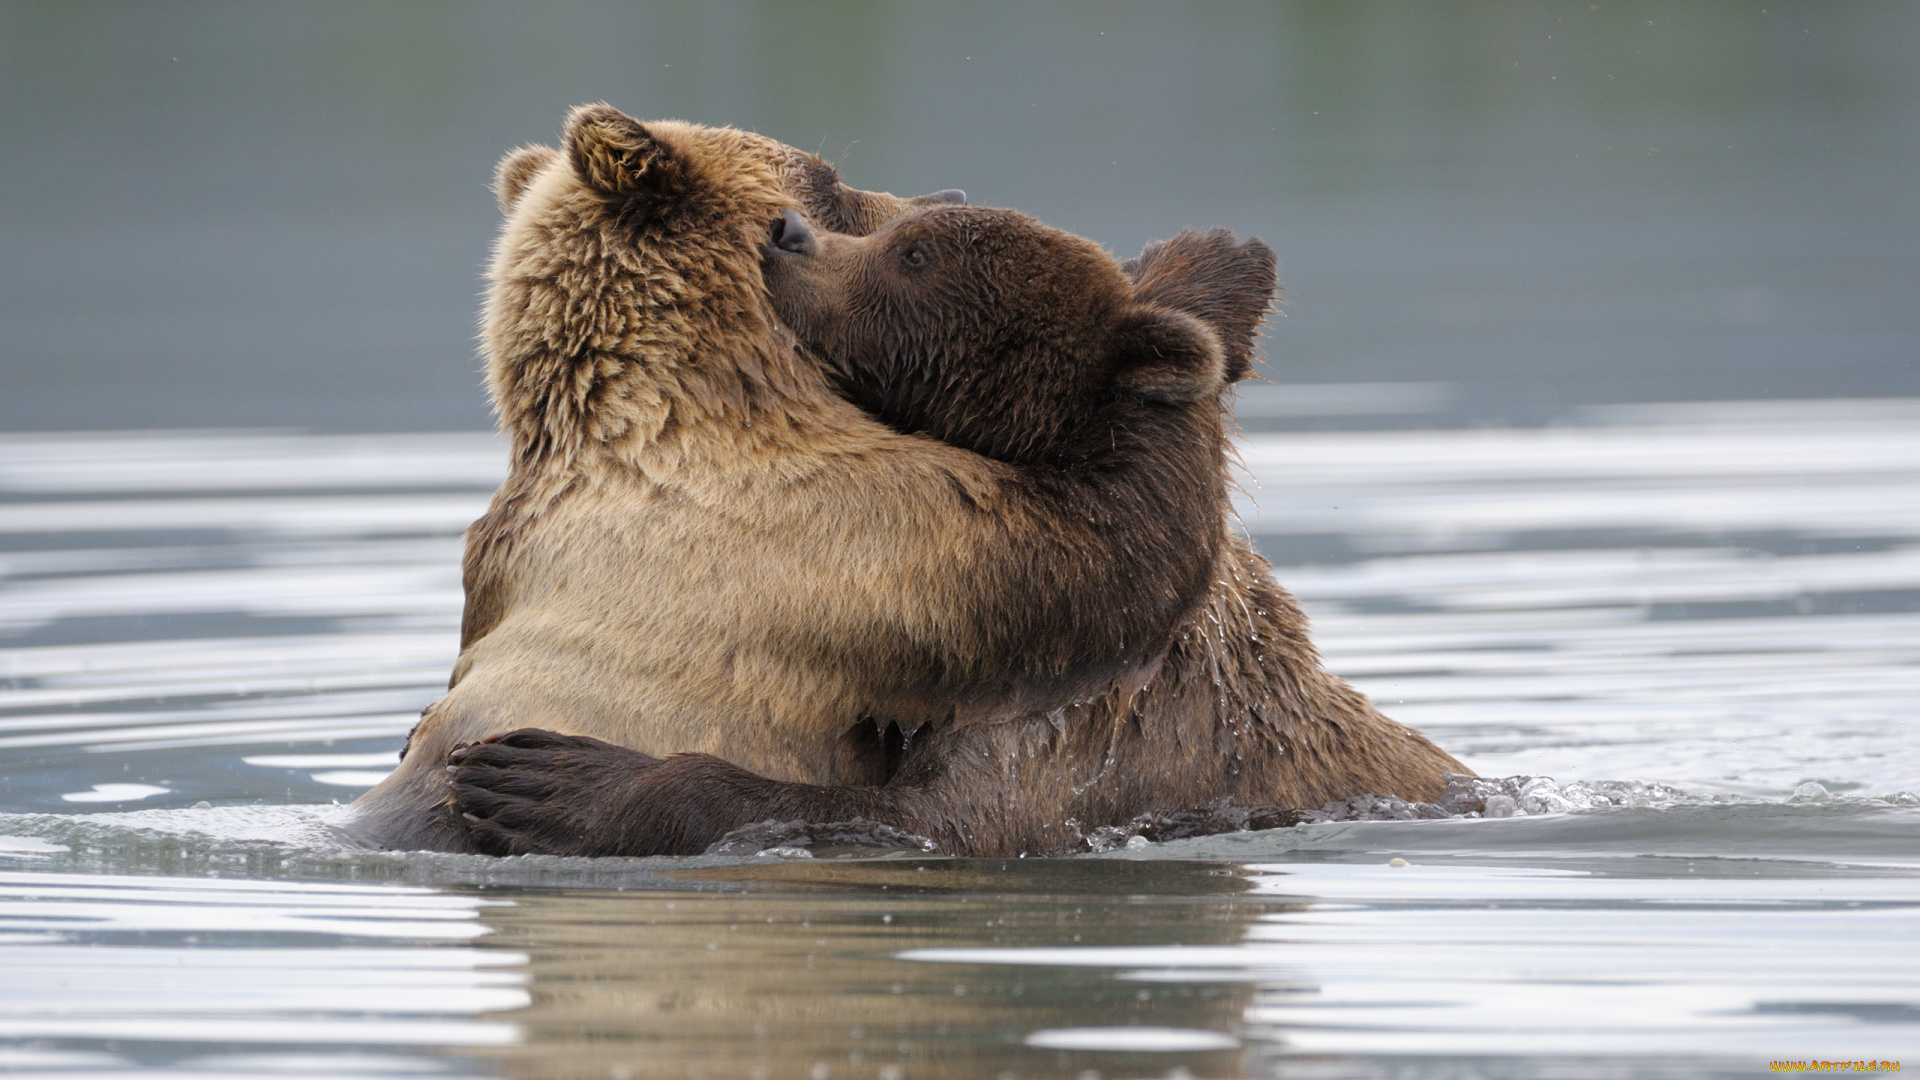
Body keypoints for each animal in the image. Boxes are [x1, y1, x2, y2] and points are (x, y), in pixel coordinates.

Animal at [439, 180, 1466, 853]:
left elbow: (928, 820)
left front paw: (547, 780)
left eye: (913, 254)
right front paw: (1219, 258)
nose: (787, 232)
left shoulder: (1075, 736)